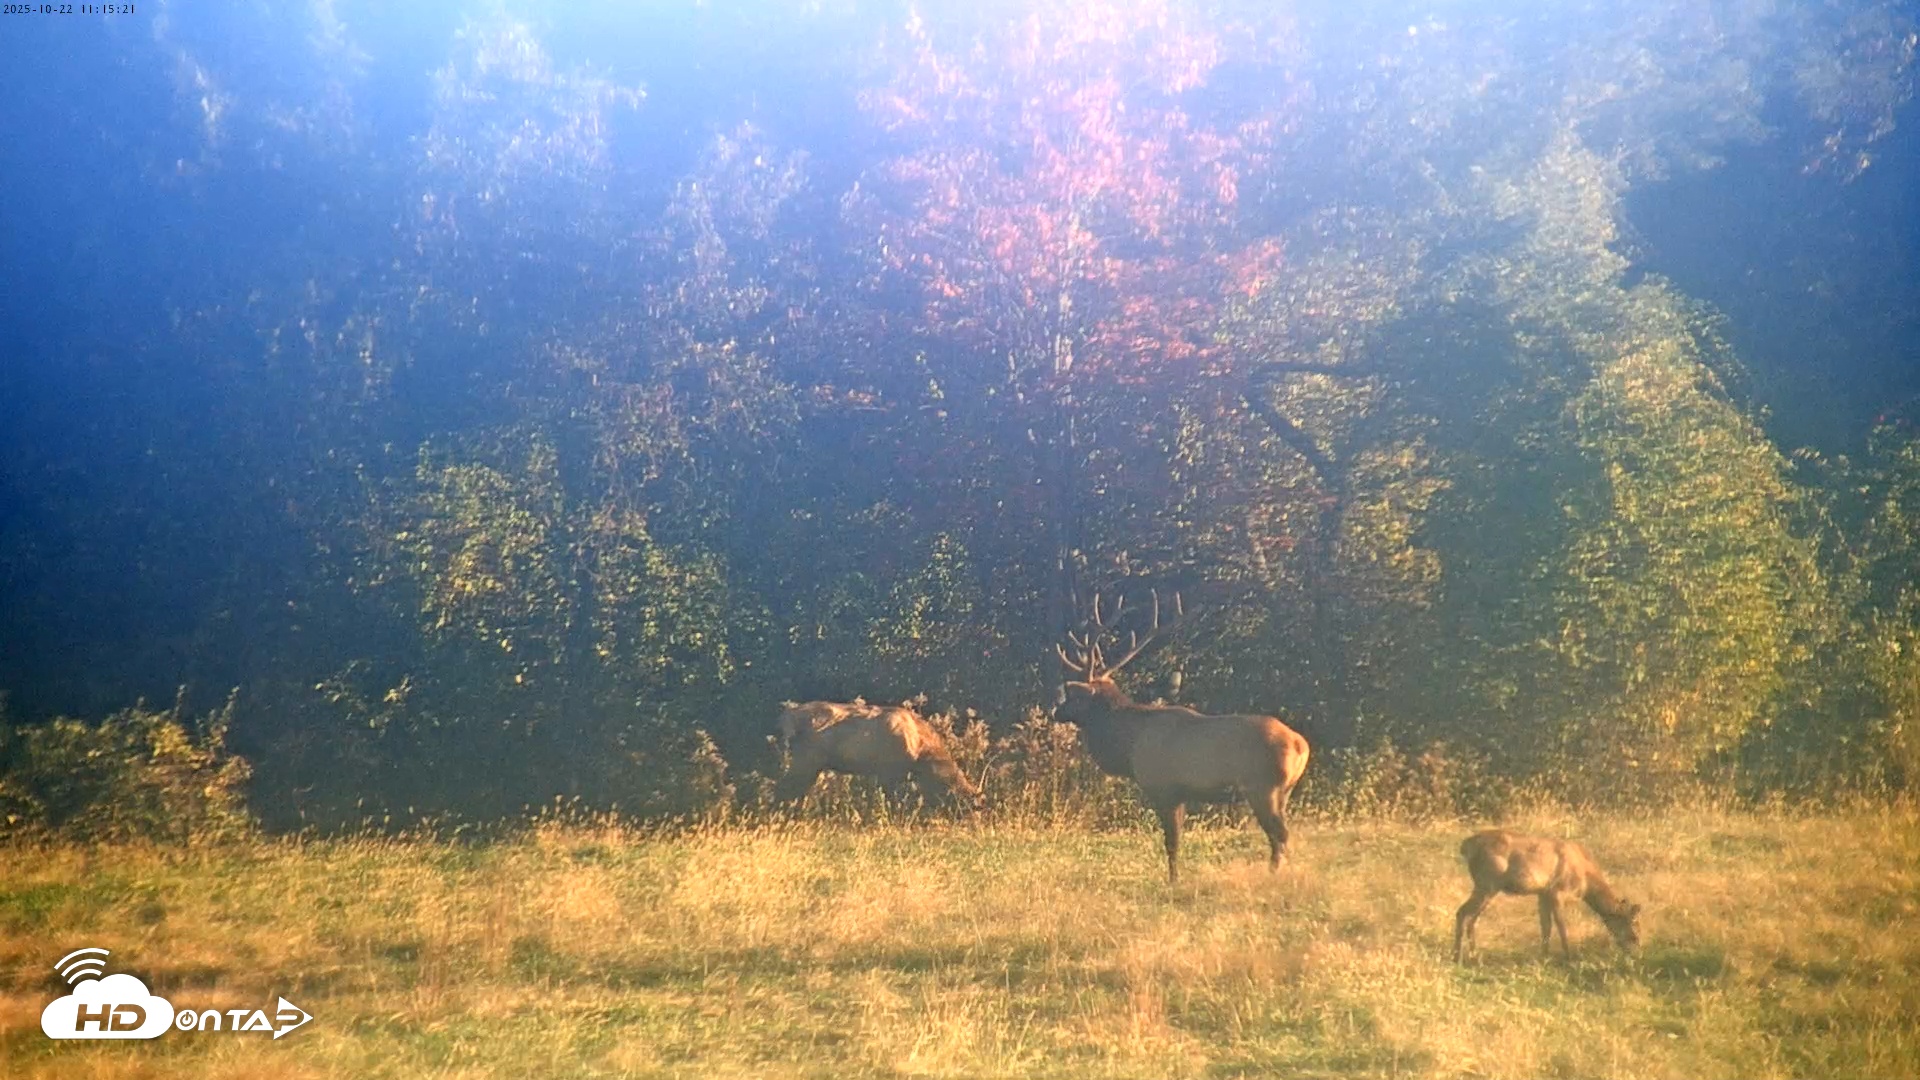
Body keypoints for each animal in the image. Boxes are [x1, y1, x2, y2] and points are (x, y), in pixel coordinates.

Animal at [772, 699, 986, 812]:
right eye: (966, 802)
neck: (920, 752)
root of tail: (785, 718)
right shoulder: (888, 772)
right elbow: (890, 800)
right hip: (806, 761)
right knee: (783, 788)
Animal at [1053, 590, 1310, 883]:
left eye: (1074, 696)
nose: (1055, 711)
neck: (1129, 746)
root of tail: (1301, 745)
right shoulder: (1182, 794)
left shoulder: (1164, 788)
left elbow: (1171, 842)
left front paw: (1173, 880)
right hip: (1284, 790)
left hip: (1262, 786)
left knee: (1279, 835)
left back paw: (1273, 874)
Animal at [1453, 830, 1643, 962]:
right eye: (1634, 929)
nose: (1636, 951)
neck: (1586, 881)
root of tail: (1466, 846)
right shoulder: (1557, 891)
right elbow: (1561, 926)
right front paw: (1569, 957)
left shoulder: (1542, 893)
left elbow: (1546, 926)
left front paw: (1544, 956)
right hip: (1487, 883)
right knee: (1462, 912)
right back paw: (1458, 957)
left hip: (1487, 888)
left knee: (1472, 918)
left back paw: (1473, 955)